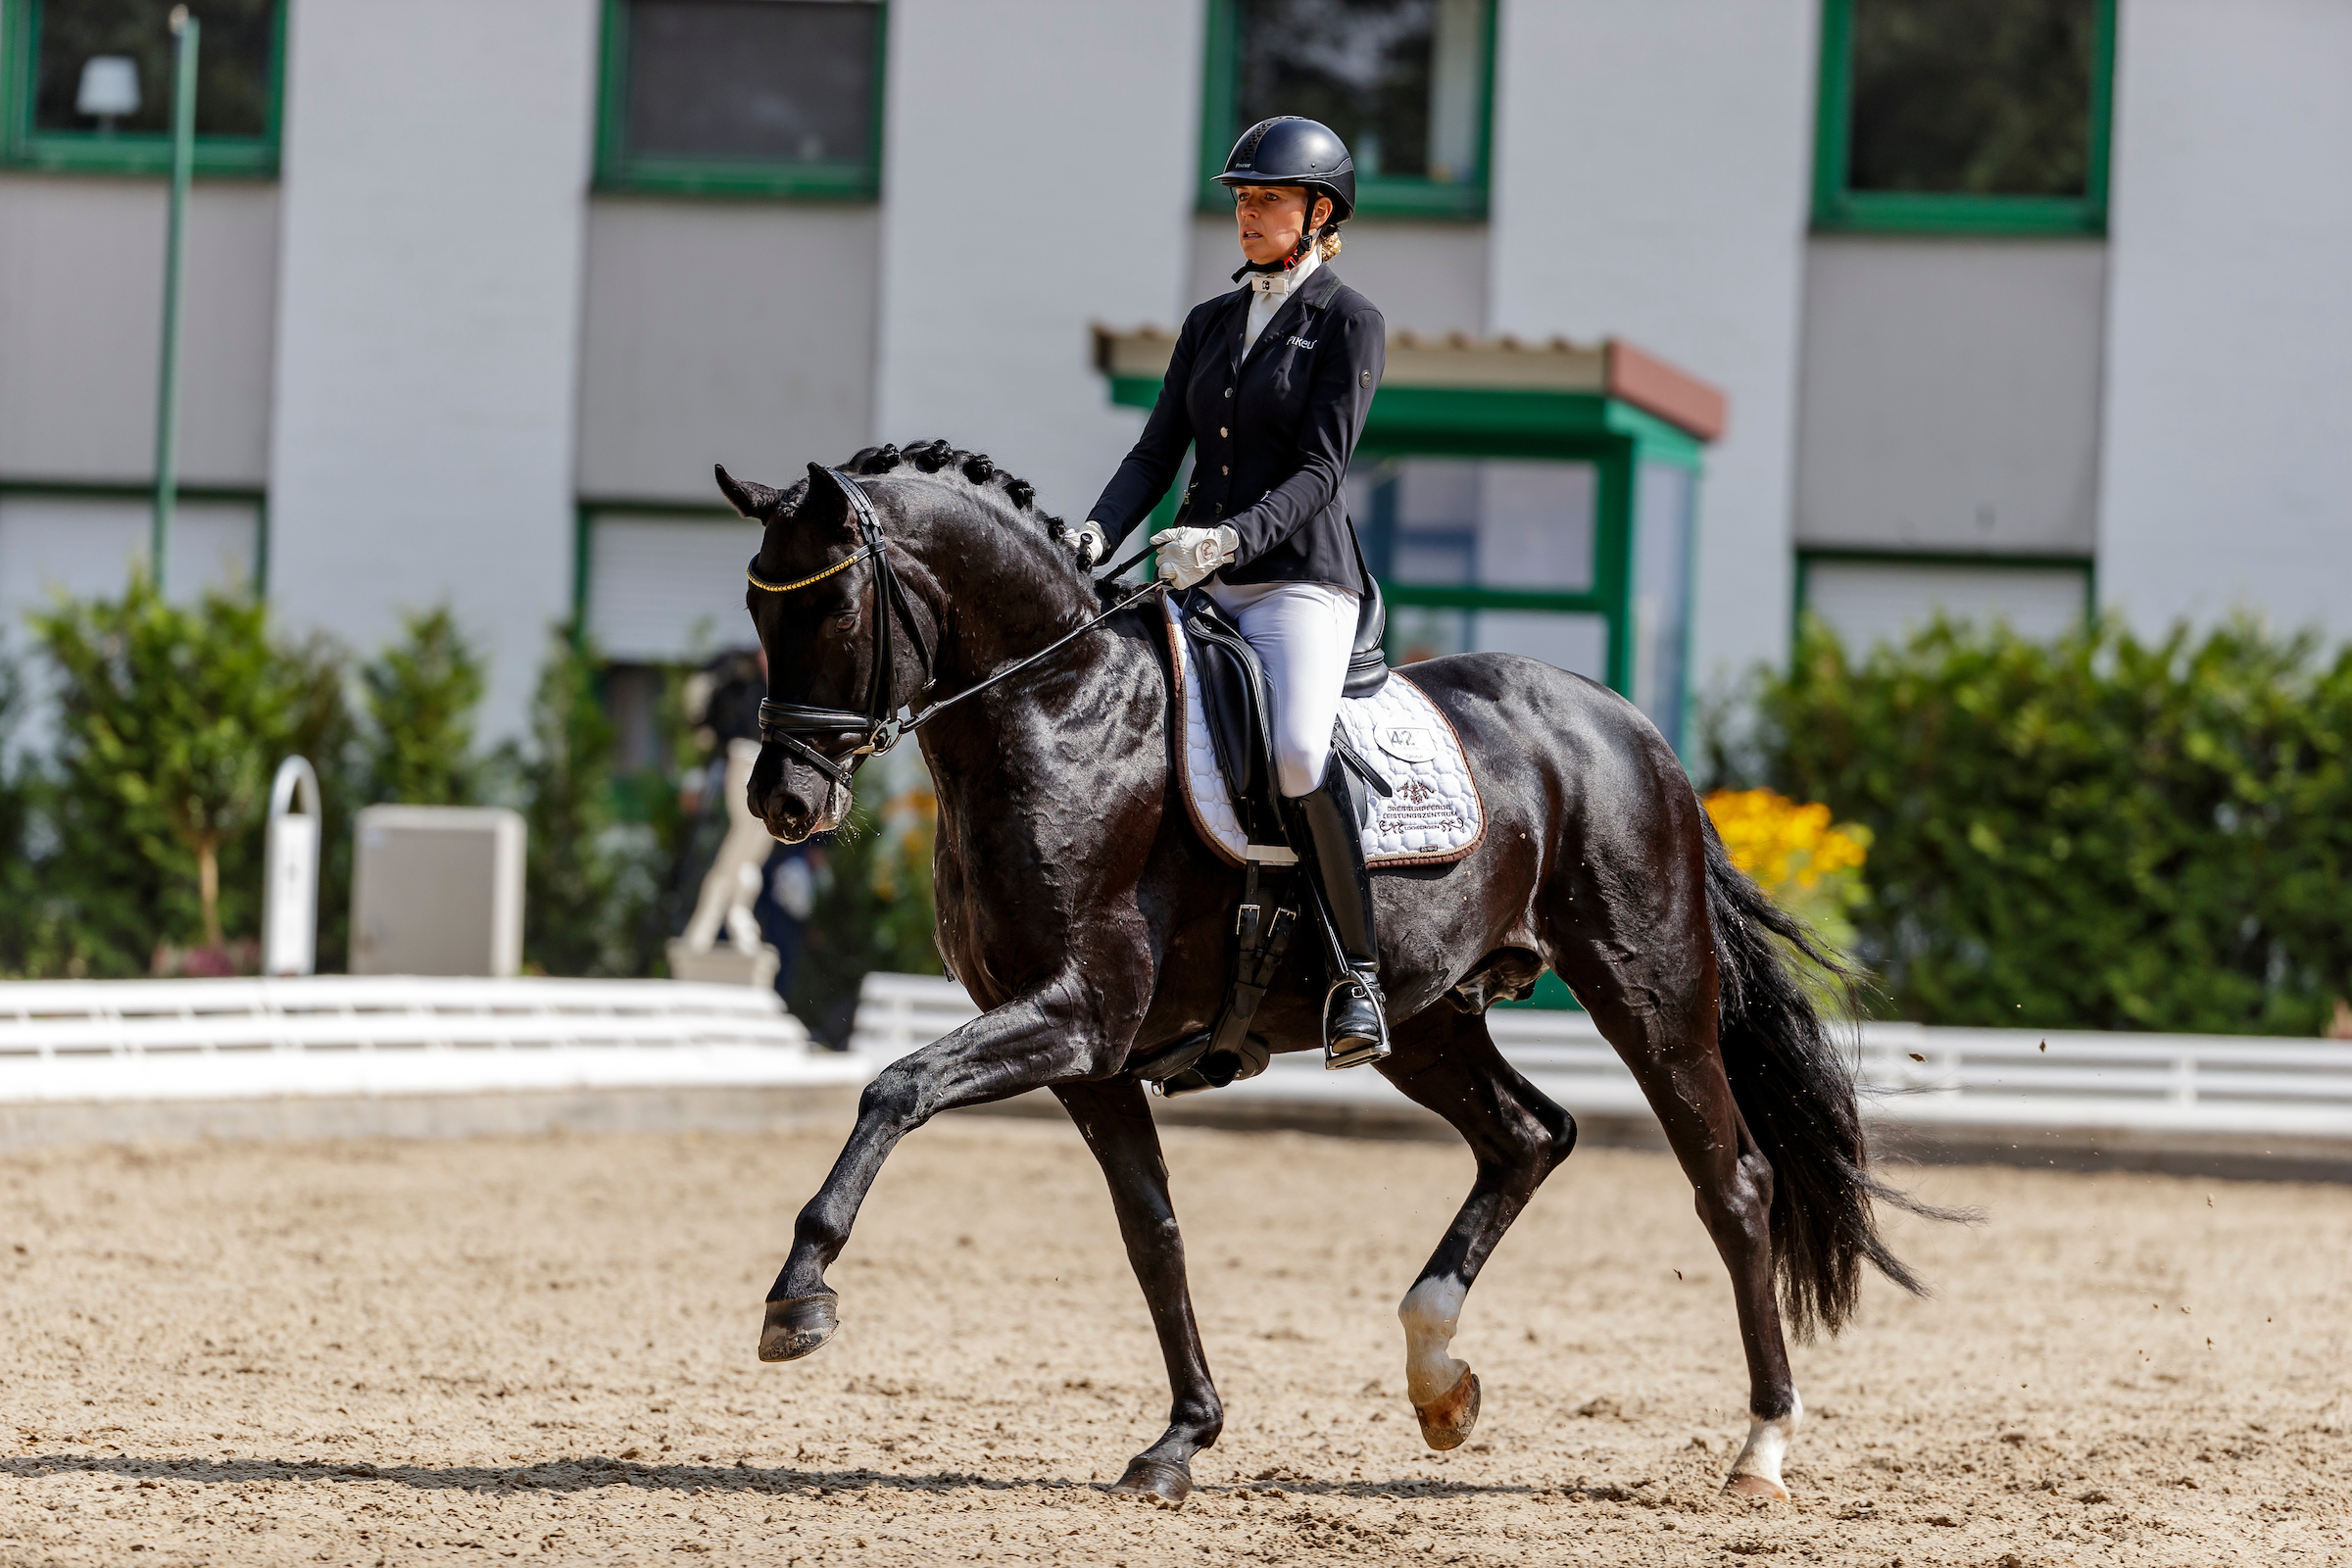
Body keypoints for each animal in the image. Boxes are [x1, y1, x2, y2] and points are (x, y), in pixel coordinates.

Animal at [714, 439, 1929, 1504]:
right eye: (758, 609)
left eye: (832, 608)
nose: (784, 801)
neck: (1056, 712)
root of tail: (1631, 727)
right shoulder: (1091, 1060)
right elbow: (1152, 1232)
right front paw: (1181, 1439)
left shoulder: (1078, 1014)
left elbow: (895, 1087)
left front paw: (798, 1296)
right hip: (1428, 1020)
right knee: (1528, 1136)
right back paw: (1439, 1380)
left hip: (1650, 990)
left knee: (1732, 1184)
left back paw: (1760, 1449)